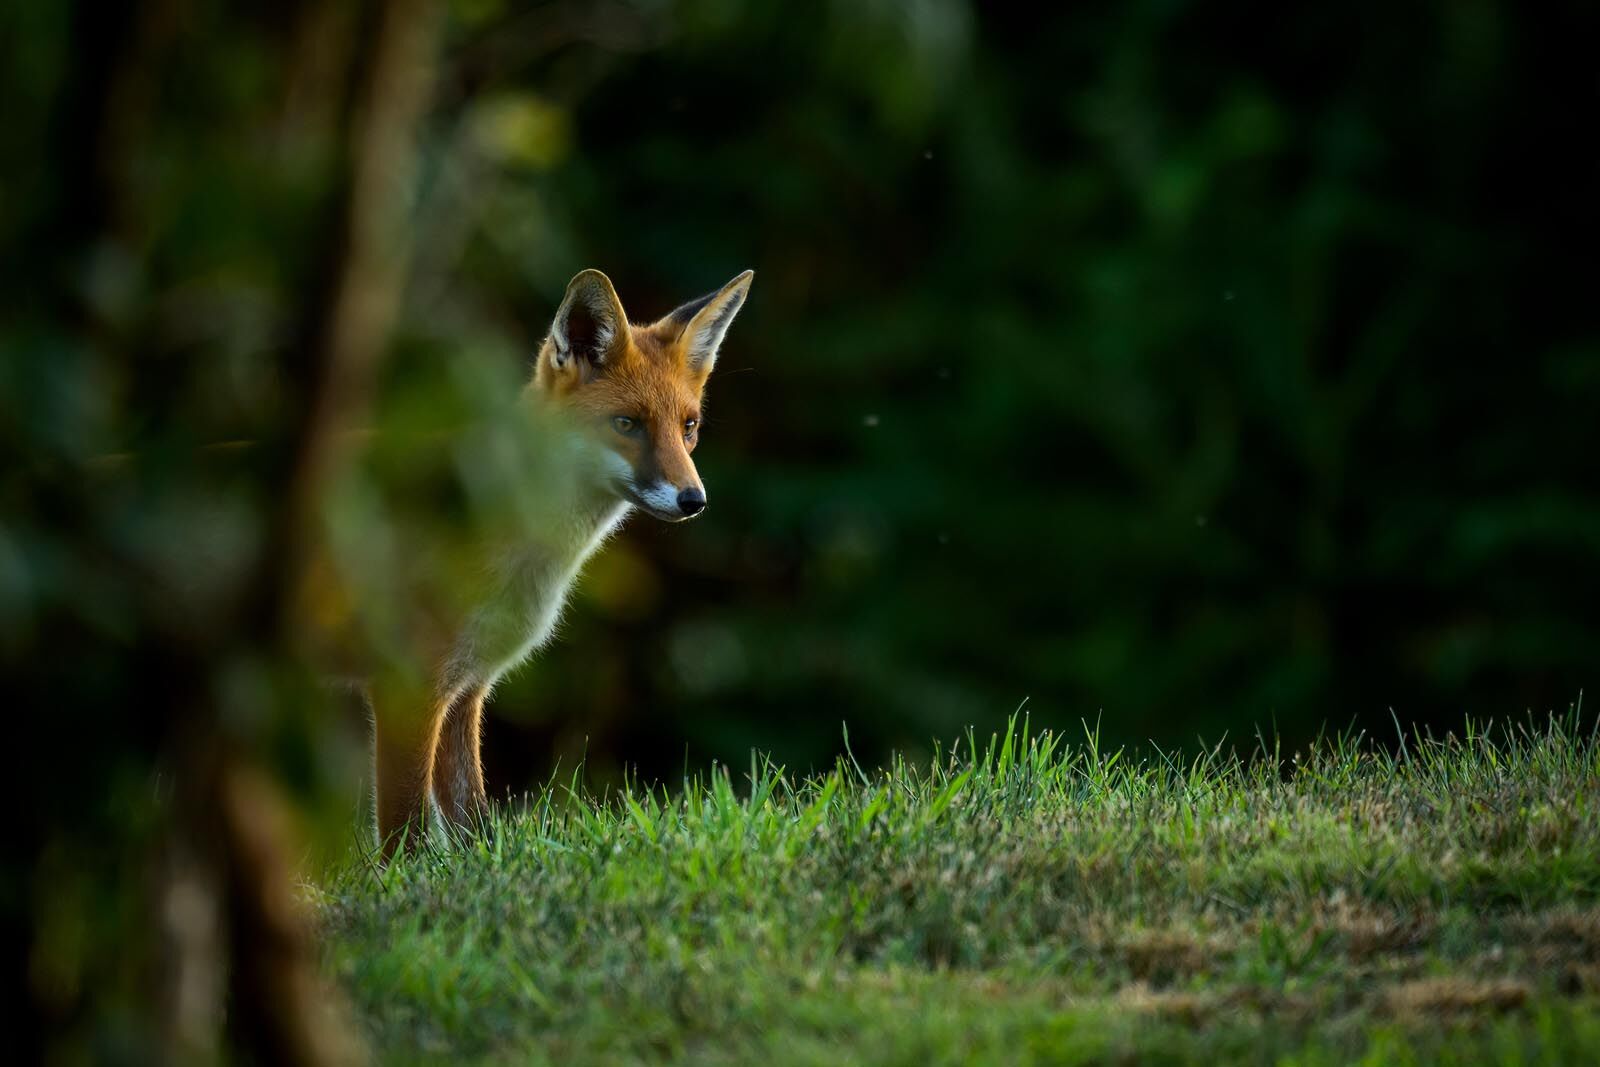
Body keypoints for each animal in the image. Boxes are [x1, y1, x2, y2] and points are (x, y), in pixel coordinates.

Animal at [354, 267, 753, 859]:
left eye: (689, 427)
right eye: (627, 424)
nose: (694, 500)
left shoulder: (464, 689)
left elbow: (472, 827)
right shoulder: (408, 686)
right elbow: (406, 840)